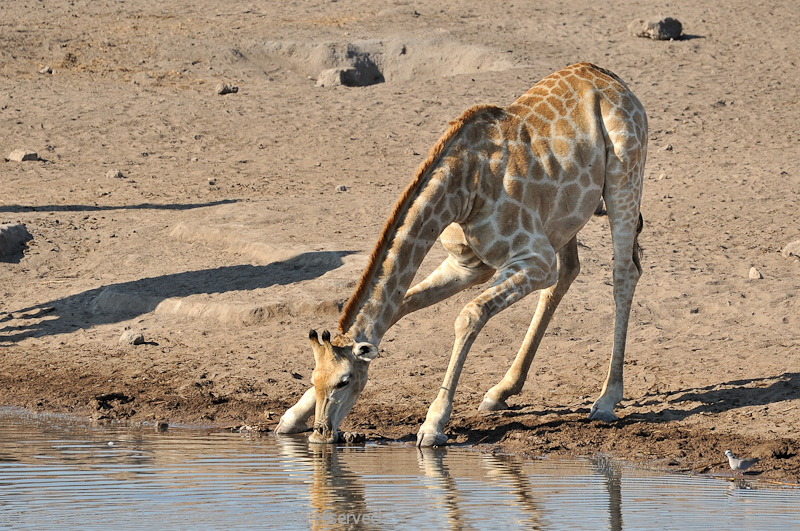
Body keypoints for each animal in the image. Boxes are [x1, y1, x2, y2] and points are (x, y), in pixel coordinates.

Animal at [278, 63, 648, 448]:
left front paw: (433, 424)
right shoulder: (466, 265)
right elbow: (402, 305)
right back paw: (501, 391)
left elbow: (469, 314)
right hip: (564, 219)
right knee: (568, 273)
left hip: (624, 179)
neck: (463, 188)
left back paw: (606, 400)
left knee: (624, 273)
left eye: (345, 381)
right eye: (313, 377)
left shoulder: (533, 258)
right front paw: (293, 416)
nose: (322, 433)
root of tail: (611, 79)